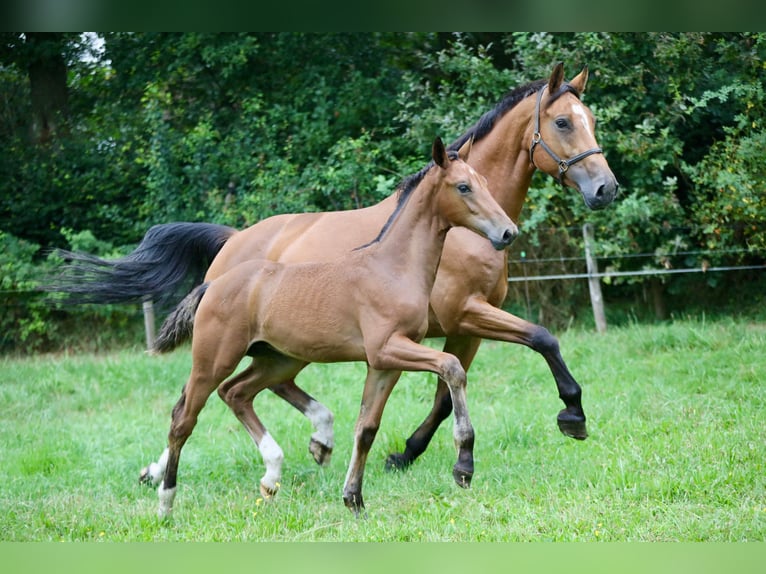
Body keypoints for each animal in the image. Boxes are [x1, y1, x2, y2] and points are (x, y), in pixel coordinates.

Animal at [49, 62, 616, 476]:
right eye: (563, 122)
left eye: (591, 120)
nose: (605, 189)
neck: (457, 233)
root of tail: (231, 244)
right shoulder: (467, 314)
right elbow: (542, 339)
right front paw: (573, 415)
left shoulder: (462, 328)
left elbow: (443, 394)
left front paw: (405, 453)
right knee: (204, 395)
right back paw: (165, 469)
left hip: (284, 347)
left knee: (252, 388)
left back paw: (315, 439)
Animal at [141, 140, 520, 516]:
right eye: (463, 186)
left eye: (485, 182)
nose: (508, 232)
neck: (393, 268)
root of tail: (212, 285)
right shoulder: (388, 348)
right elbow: (452, 368)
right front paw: (463, 466)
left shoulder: (383, 365)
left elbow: (366, 429)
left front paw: (353, 499)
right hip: (214, 360)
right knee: (183, 418)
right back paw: (166, 502)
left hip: (277, 359)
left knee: (236, 392)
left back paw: (272, 472)